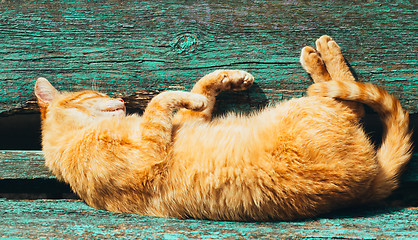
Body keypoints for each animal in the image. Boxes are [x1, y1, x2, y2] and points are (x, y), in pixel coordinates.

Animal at [35, 35, 412, 221]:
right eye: (95, 94)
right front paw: (187, 95)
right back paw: (319, 54)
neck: (75, 140)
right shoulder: (148, 151)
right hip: (312, 106)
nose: (120, 99)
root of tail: (369, 184)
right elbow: (163, 99)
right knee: (349, 100)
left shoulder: (182, 124)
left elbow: (199, 93)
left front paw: (226, 80)